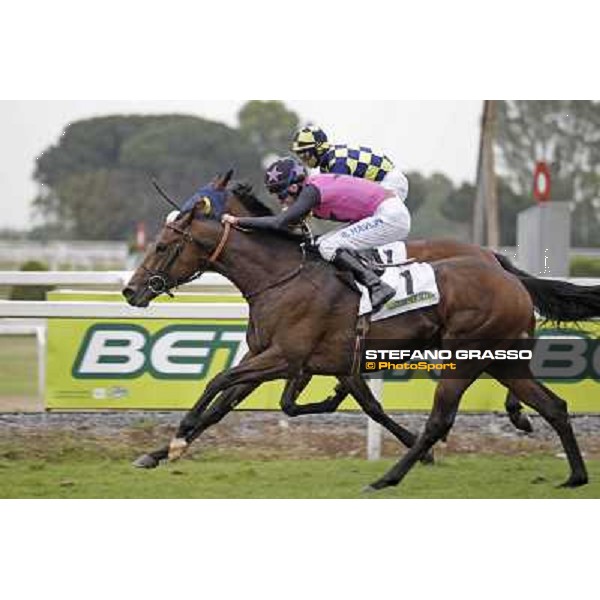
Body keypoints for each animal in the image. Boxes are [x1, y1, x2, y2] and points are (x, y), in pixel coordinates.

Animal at [122, 172, 584, 488]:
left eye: (162, 246)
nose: (130, 290)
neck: (281, 276)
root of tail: (502, 271)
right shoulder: (275, 357)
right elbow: (228, 404)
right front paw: (157, 452)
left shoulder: (284, 357)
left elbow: (219, 381)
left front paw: (178, 437)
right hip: (502, 358)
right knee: (552, 405)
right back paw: (568, 468)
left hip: (466, 358)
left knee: (443, 418)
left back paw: (389, 478)